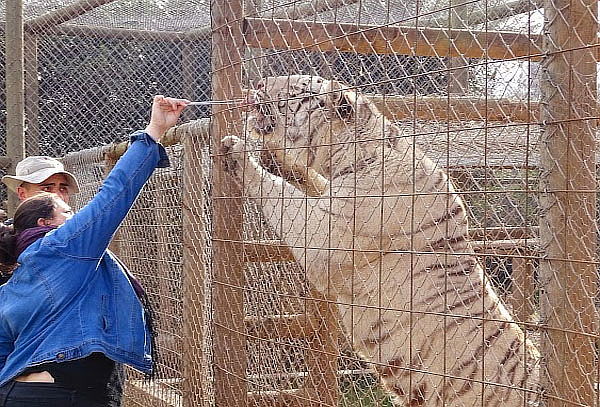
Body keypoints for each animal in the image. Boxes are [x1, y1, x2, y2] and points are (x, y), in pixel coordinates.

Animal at [220, 75, 540, 406]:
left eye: (295, 87)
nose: (258, 83)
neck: (352, 157)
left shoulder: (325, 234)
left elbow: (280, 194)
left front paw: (240, 154)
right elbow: (306, 181)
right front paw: (277, 159)